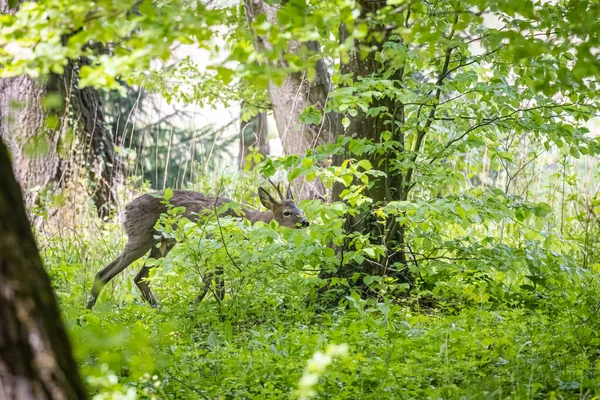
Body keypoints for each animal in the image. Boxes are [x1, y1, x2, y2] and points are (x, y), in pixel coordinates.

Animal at [86, 184, 308, 310]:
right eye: (287, 212)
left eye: (300, 209)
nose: (305, 222)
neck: (246, 220)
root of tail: (125, 209)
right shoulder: (212, 241)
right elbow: (209, 284)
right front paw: (194, 308)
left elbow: (220, 289)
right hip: (140, 237)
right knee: (103, 273)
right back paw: (87, 313)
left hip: (162, 243)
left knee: (140, 277)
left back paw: (159, 310)